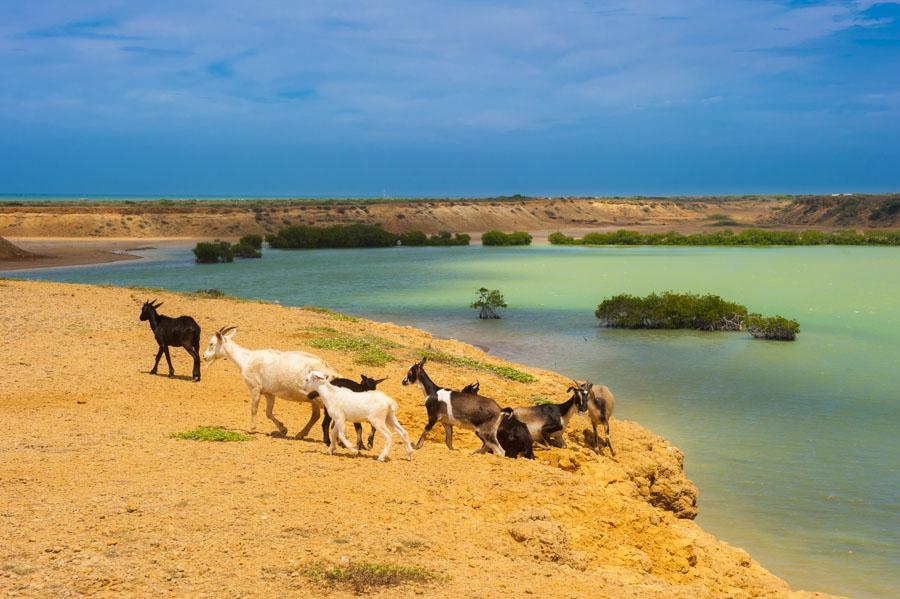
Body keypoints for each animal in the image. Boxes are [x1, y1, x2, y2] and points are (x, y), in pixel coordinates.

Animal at [202, 326, 336, 438]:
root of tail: (329, 371)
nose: (204, 357)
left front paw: (251, 429)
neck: (247, 359)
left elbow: (254, 409)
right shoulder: (268, 393)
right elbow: (268, 413)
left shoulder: (255, 388)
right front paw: (283, 429)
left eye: (211, 344)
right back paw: (301, 434)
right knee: (316, 415)